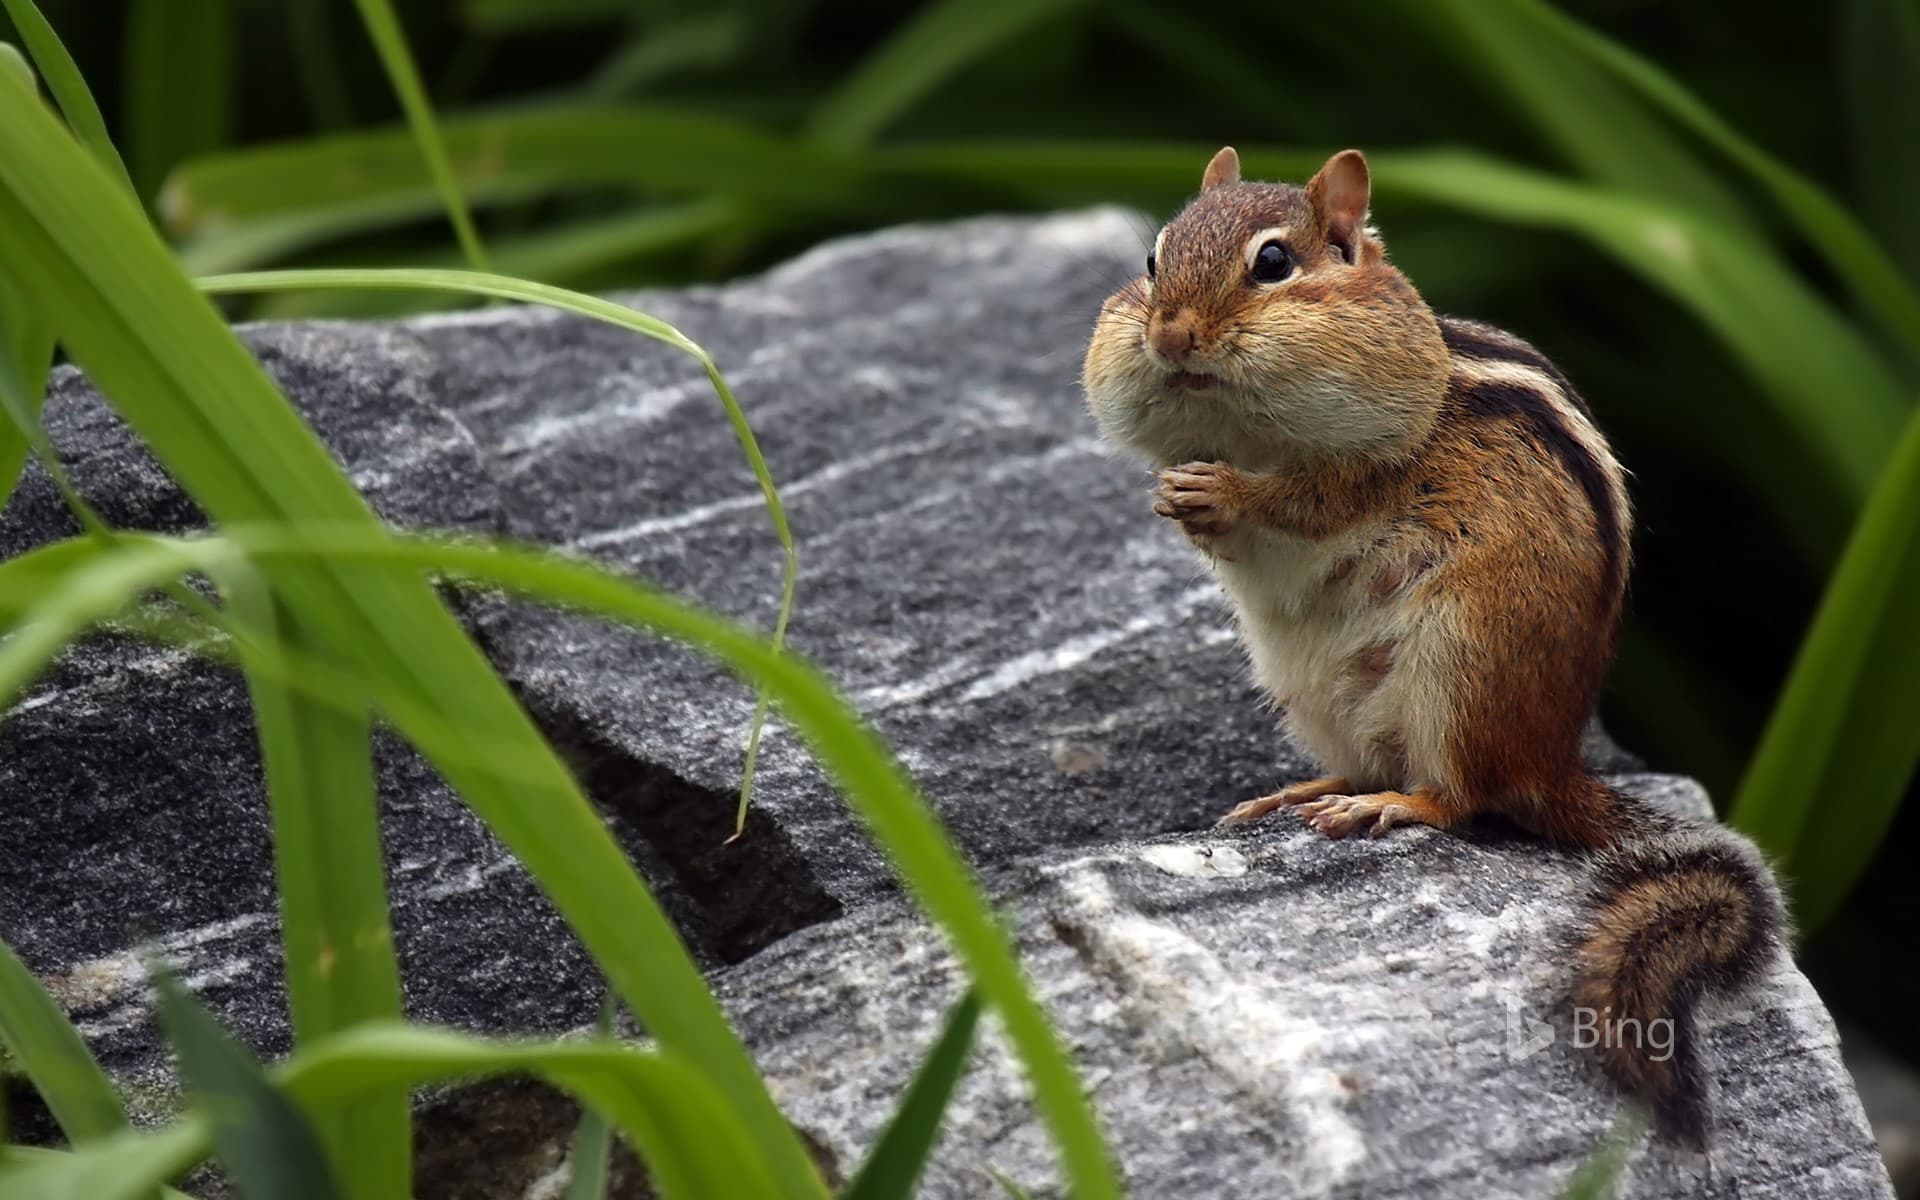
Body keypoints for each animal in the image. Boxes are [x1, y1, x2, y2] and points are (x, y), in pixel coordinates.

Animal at [1081, 145, 1786, 1146]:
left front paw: (1228, 494)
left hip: (1463, 665)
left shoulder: (1374, 460)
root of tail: (1551, 760)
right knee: (1371, 760)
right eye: (1152, 259)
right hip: (1311, 690)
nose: (1170, 335)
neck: (1239, 426)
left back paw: (1396, 807)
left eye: (1272, 264)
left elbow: (1310, 500)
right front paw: (1177, 497)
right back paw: (1311, 791)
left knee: (1463, 797)